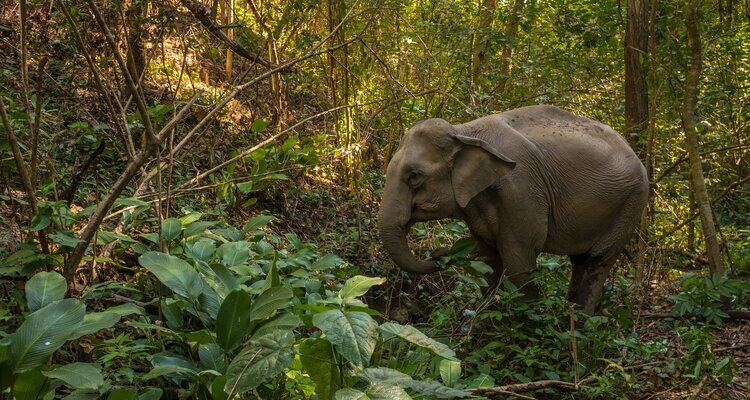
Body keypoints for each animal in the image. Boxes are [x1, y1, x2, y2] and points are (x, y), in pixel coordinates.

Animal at [378, 105, 649, 314]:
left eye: (414, 177)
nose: (438, 252)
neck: (464, 131)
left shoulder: (521, 192)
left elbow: (519, 262)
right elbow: (488, 260)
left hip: (632, 202)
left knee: (598, 260)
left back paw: (580, 326)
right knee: (580, 260)